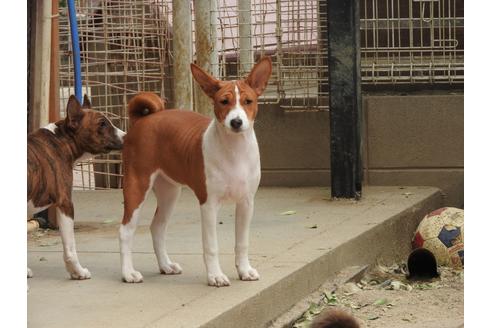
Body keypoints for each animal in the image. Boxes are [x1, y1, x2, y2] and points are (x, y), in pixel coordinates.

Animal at [119, 57, 272, 288]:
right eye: (223, 101)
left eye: (248, 101)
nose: (236, 122)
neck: (235, 152)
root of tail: (144, 120)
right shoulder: (209, 204)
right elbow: (211, 246)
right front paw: (215, 276)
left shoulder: (246, 202)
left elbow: (242, 242)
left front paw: (244, 270)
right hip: (137, 186)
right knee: (126, 231)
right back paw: (128, 272)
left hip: (169, 192)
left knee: (157, 227)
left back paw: (166, 265)